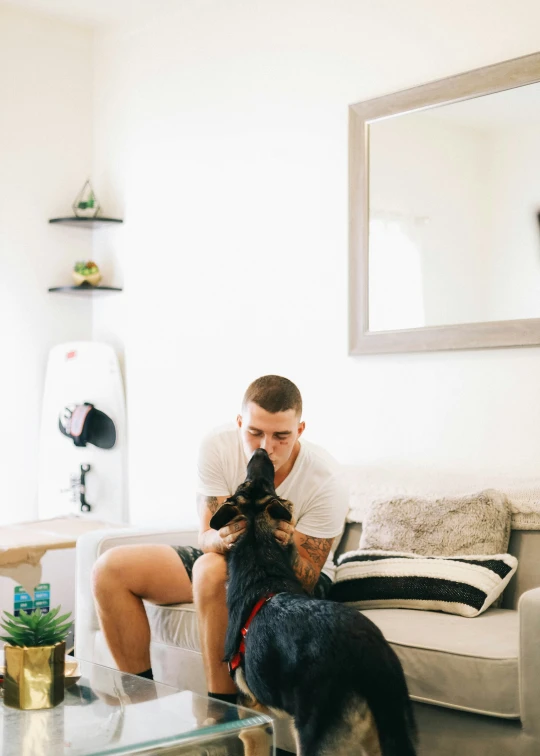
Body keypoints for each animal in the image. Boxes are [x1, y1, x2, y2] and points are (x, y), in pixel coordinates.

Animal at [209, 448, 416, 756]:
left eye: (244, 485)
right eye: (254, 484)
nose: (260, 450)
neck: (260, 553)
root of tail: (369, 655)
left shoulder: (251, 714)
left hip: (313, 738)